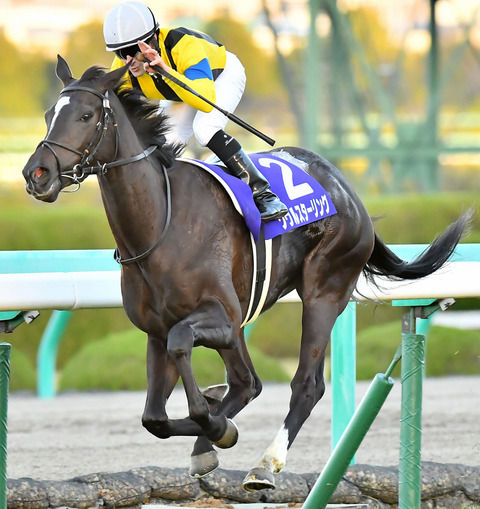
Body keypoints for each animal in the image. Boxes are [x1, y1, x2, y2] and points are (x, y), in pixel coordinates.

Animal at [24, 54, 470, 488]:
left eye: (85, 115)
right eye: (48, 114)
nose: (36, 173)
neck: (161, 224)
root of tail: (348, 190)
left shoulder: (219, 316)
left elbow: (184, 348)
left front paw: (217, 424)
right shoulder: (157, 329)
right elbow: (154, 418)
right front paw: (212, 424)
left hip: (324, 291)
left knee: (304, 384)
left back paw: (264, 464)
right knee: (246, 382)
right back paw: (213, 436)